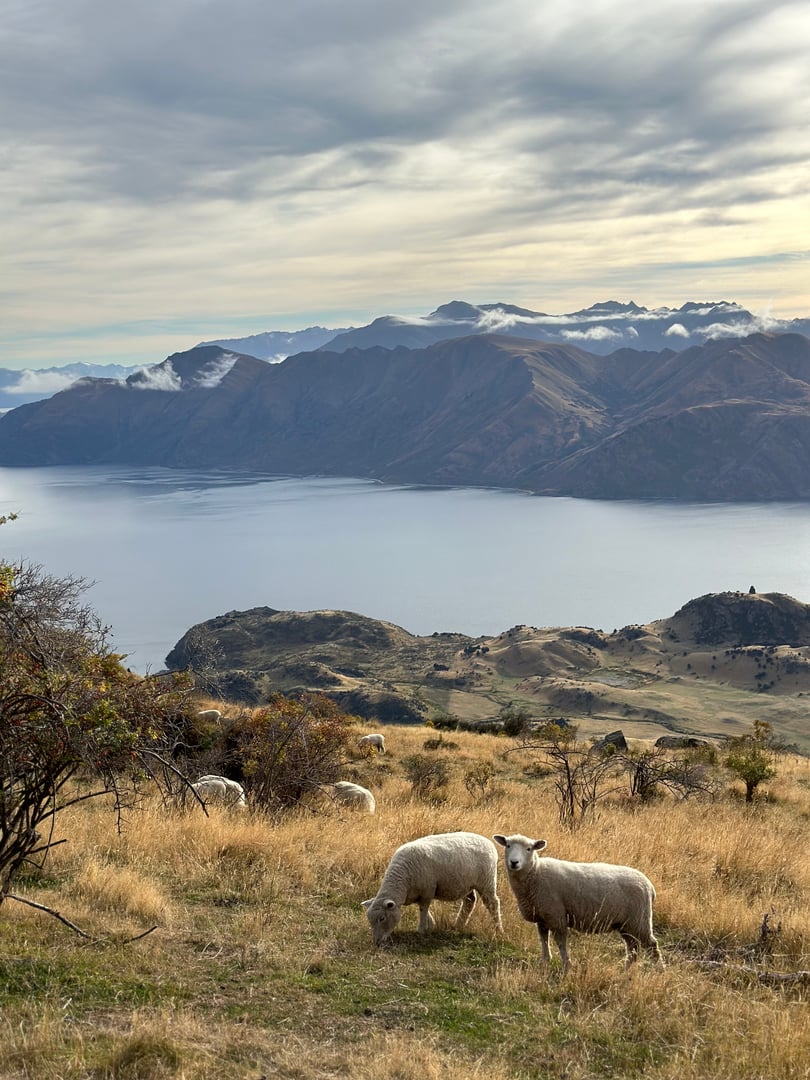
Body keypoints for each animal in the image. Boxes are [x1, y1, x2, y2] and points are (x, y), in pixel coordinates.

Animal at [362, 831, 502, 946]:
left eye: (382, 918)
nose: (377, 942)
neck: (402, 882)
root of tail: (488, 842)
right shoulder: (419, 893)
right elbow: (423, 908)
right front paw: (431, 924)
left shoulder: (427, 890)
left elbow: (423, 909)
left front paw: (421, 930)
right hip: (466, 884)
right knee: (469, 902)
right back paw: (458, 925)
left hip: (487, 881)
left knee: (493, 903)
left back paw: (498, 929)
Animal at [493, 833, 662, 973]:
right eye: (508, 845)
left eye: (529, 849)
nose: (514, 862)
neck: (535, 873)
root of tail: (649, 886)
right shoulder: (542, 916)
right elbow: (543, 939)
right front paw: (546, 960)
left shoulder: (557, 916)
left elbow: (561, 943)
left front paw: (566, 966)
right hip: (626, 924)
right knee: (633, 949)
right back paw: (624, 971)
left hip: (640, 920)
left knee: (652, 945)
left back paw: (660, 970)